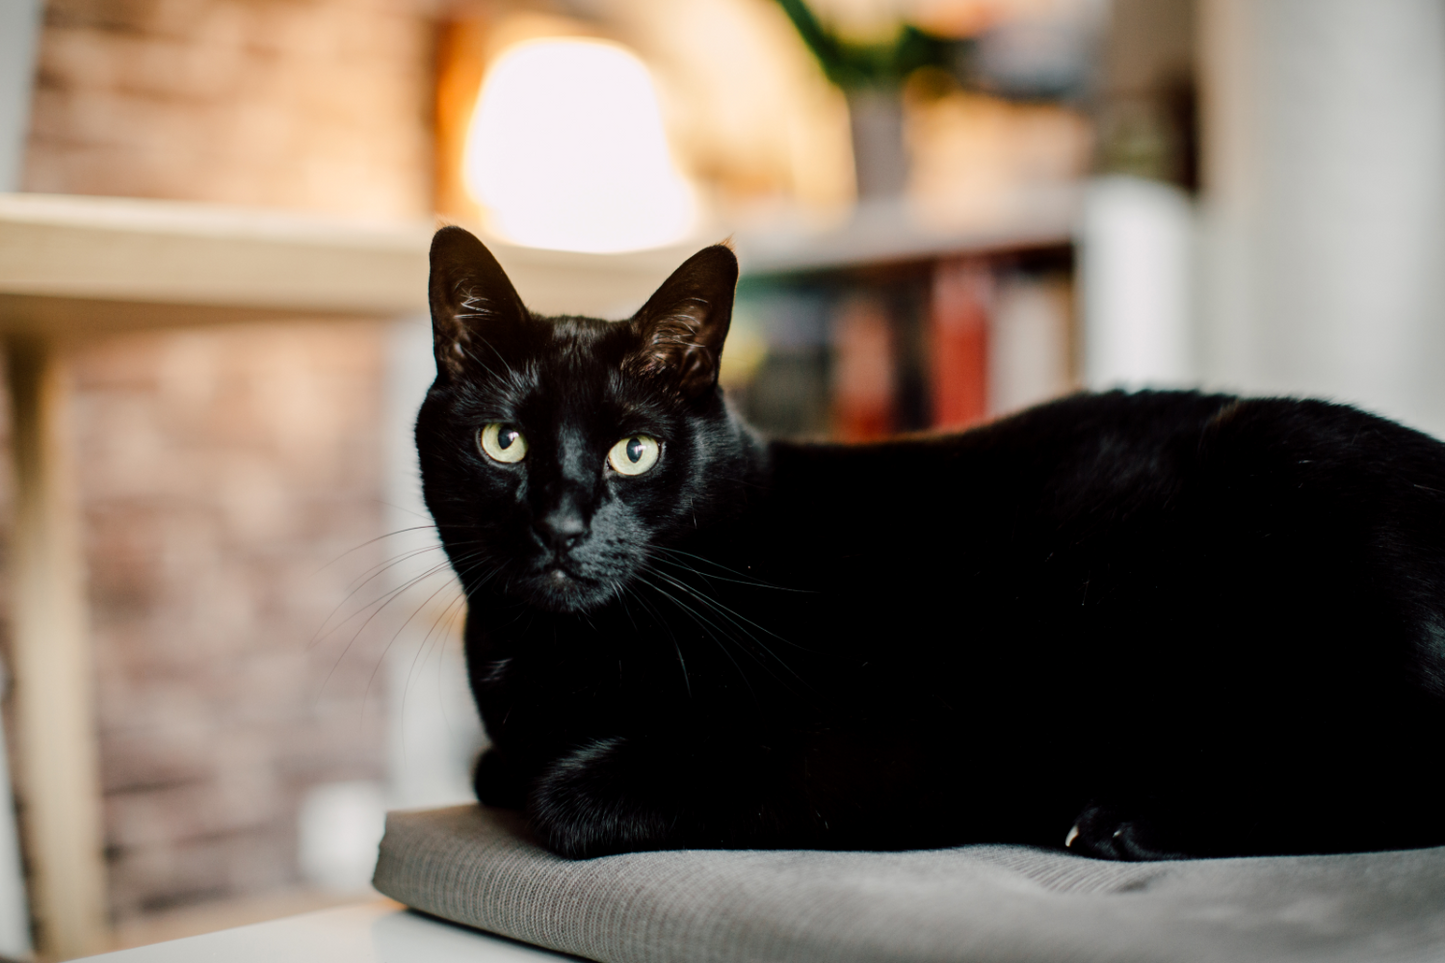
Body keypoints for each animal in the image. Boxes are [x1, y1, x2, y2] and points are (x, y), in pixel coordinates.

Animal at [416, 227, 1445, 861]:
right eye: (504, 442)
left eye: (634, 451)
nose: (562, 525)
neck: (547, 663)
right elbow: (494, 766)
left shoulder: (887, 745)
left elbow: (564, 796)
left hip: (1271, 463)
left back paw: (1132, 820)